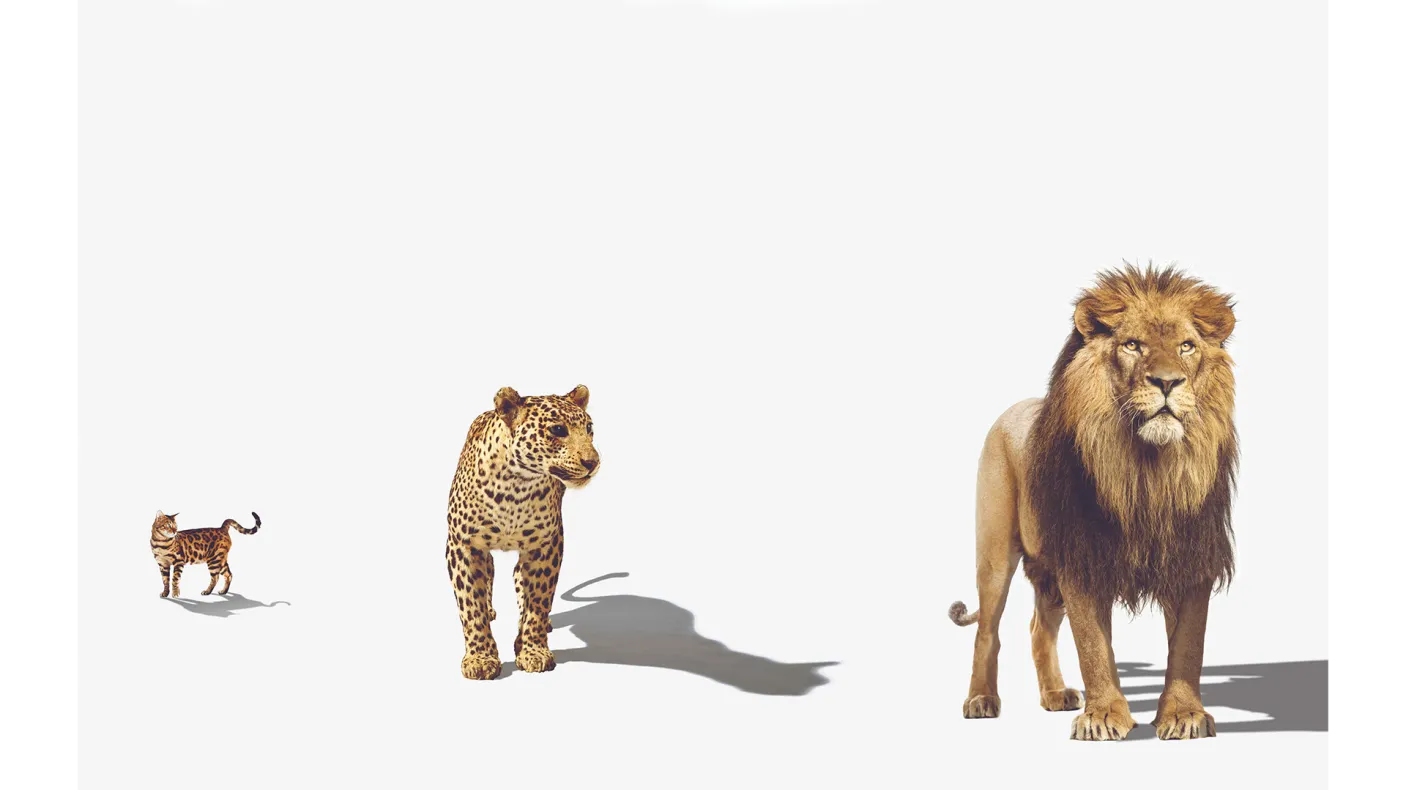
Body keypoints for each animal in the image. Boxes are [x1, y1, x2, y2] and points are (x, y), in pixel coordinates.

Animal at [949, 264, 1238, 741]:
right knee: (987, 630)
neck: (1147, 471)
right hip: (994, 553)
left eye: (1187, 346)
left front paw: (1184, 715)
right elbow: (1092, 646)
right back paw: (981, 700)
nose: (1167, 382)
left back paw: (1055, 695)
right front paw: (1104, 716)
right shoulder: (1081, 557)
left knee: (1038, 628)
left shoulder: (1191, 555)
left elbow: (1188, 645)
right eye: (1132, 344)